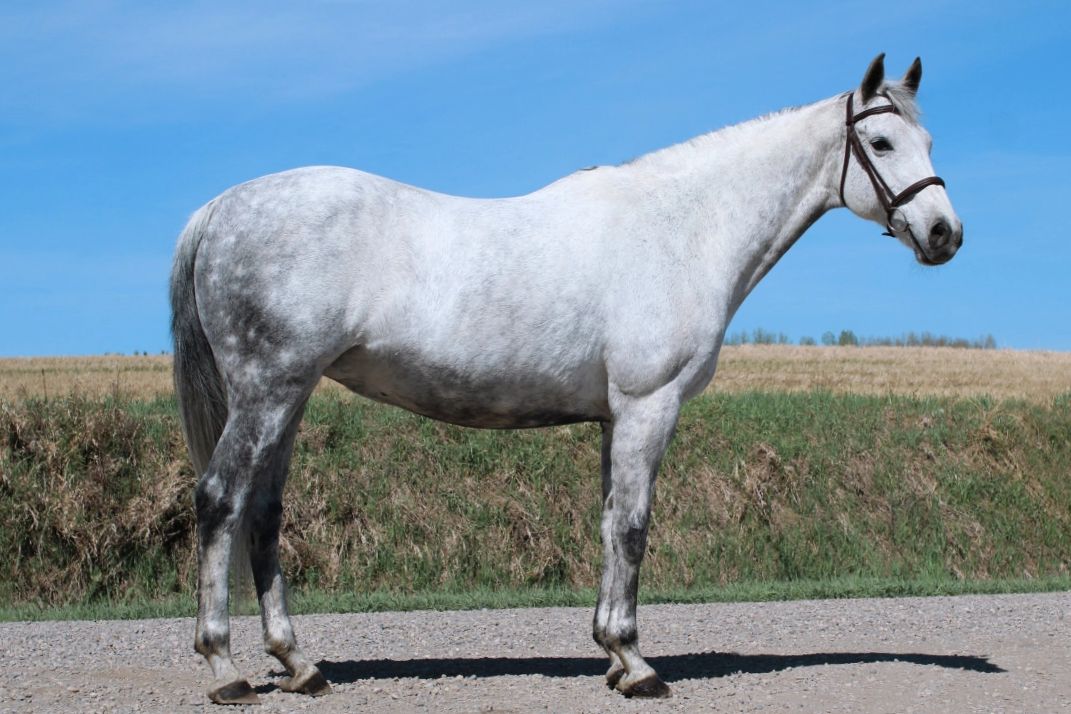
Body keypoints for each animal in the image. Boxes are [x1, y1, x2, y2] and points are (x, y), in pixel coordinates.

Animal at [170, 54, 961, 704]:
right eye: (882, 144)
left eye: (928, 144)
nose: (944, 234)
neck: (683, 227)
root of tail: (219, 208)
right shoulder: (649, 406)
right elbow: (635, 527)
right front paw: (638, 666)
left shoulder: (616, 417)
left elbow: (609, 523)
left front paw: (610, 651)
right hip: (267, 393)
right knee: (219, 500)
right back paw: (224, 667)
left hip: (290, 398)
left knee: (264, 513)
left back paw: (298, 664)